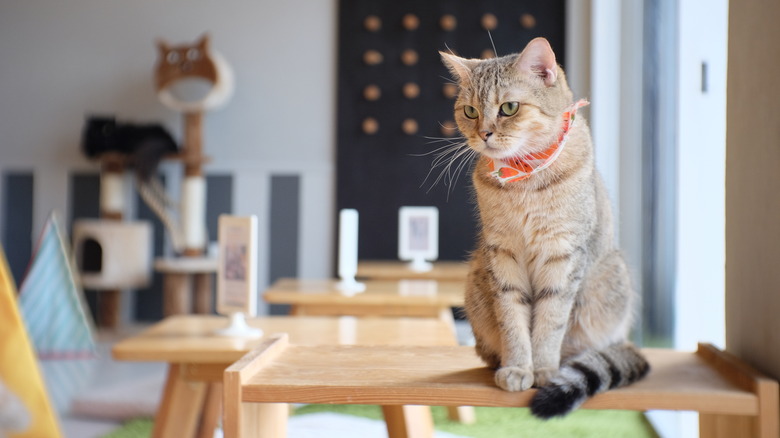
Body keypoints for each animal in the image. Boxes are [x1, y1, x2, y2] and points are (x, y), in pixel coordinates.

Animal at [442, 37, 648, 418]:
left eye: (509, 108)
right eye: (470, 111)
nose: (484, 133)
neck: (524, 178)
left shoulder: (562, 255)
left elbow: (551, 321)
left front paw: (542, 369)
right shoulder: (502, 254)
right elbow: (512, 320)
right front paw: (518, 367)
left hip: (613, 277)